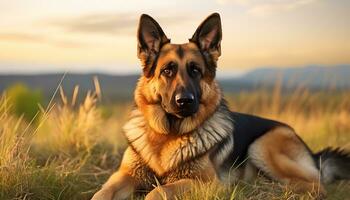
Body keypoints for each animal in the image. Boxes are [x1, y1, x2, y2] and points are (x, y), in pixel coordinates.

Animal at [92, 13, 350, 199]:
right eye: (167, 71)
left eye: (196, 70)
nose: (185, 101)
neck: (167, 136)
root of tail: (312, 153)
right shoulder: (124, 175)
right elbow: (101, 193)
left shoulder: (207, 184)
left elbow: (159, 191)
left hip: (262, 145)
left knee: (315, 186)